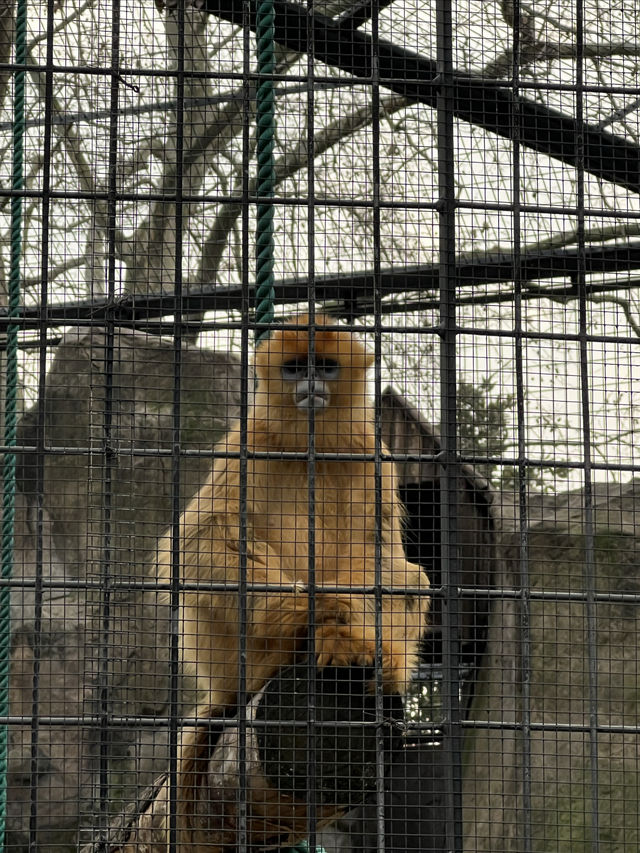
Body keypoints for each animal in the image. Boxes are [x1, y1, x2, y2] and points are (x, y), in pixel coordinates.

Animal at [158, 312, 430, 712]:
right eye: (295, 368)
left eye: (326, 366)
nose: (311, 381)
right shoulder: (248, 443)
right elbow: (199, 537)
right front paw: (322, 604)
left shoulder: (371, 454)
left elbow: (376, 550)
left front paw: (341, 624)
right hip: (234, 661)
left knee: (410, 576)